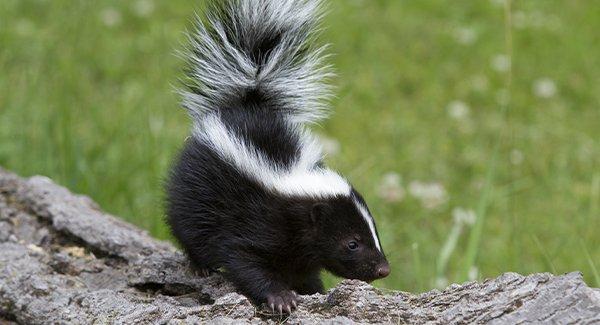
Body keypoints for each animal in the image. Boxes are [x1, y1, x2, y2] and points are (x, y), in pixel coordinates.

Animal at [165, 0, 390, 312]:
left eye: (373, 232)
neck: (288, 179)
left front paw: (312, 289)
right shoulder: (253, 223)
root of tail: (250, 101)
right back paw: (199, 266)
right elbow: (246, 261)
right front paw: (281, 298)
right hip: (194, 190)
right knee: (187, 225)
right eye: (352, 243)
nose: (383, 269)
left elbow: (302, 269)